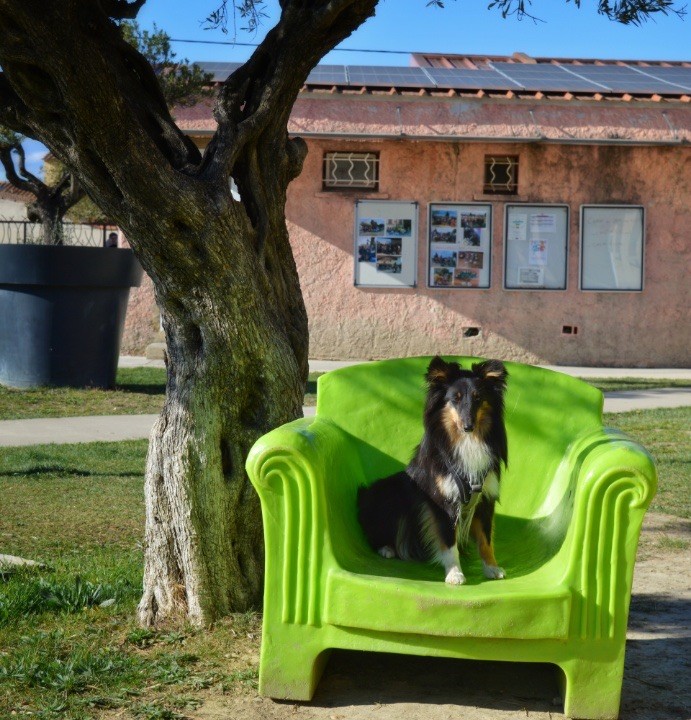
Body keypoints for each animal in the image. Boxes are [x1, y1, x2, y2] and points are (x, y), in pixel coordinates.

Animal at [360, 354, 510, 584]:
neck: (467, 441)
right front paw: (455, 574)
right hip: (390, 492)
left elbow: (486, 539)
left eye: (478, 398)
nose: (468, 426)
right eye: (455, 398)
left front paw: (492, 568)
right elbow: (449, 542)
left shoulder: (486, 498)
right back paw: (387, 548)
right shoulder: (442, 501)